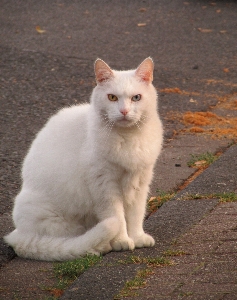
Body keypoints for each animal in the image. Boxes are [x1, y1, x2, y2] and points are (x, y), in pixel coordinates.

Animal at [4, 57, 163, 262]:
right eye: (112, 98)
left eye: (136, 97)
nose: (124, 111)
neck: (129, 138)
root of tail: (18, 235)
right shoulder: (104, 185)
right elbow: (117, 216)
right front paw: (122, 240)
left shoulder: (140, 181)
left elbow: (136, 214)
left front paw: (137, 237)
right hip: (57, 219)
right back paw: (102, 245)